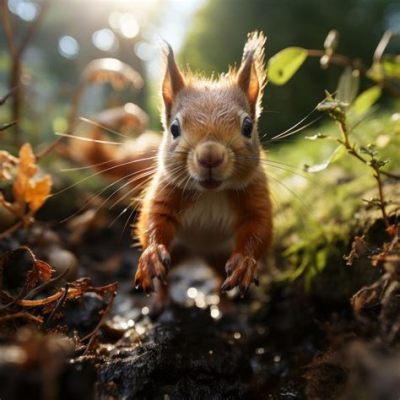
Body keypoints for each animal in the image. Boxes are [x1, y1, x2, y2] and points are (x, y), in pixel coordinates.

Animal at [133, 32, 274, 298]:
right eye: (174, 128)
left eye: (247, 126)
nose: (210, 156)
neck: (210, 193)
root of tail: (197, 254)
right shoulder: (166, 190)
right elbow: (153, 219)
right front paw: (152, 255)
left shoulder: (255, 193)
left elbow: (259, 227)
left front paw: (244, 262)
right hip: (177, 252)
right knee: (164, 280)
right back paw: (161, 299)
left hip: (218, 257)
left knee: (220, 280)